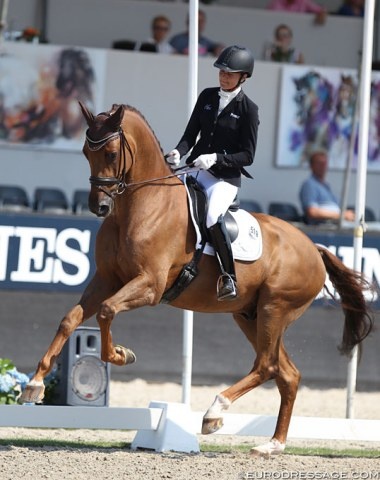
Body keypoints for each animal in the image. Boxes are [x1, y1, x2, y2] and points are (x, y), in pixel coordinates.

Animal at [19, 103, 372, 456]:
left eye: (111, 152)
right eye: (85, 152)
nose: (99, 206)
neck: (142, 206)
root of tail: (313, 248)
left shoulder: (149, 285)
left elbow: (106, 311)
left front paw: (120, 354)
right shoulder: (106, 280)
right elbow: (70, 319)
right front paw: (34, 384)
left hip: (275, 309)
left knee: (267, 365)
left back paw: (214, 413)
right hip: (250, 315)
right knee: (287, 373)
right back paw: (272, 445)